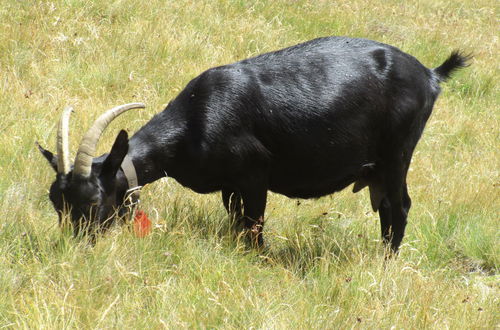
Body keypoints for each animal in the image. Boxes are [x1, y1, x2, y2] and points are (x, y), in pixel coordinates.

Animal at [38, 36, 468, 251]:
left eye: (94, 200)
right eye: (56, 202)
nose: (76, 246)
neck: (194, 122)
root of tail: (430, 74)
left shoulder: (255, 174)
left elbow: (254, 225)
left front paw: (258, 258)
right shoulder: (229, 185)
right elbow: (236, 221)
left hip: (398, 154)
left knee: (399, 207)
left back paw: (386, 261)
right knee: (385, 208)